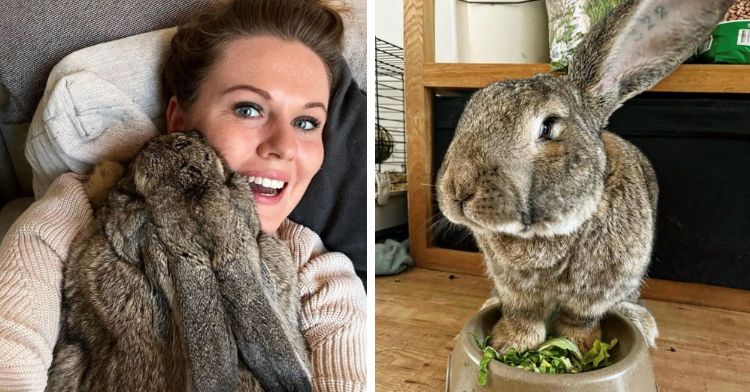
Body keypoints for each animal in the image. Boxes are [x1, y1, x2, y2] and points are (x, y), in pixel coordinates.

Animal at [434, 0, 736, 356]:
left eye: (548, 127)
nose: (458, 189)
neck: (547, 232)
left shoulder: (598, 291)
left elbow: (579, 319)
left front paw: (578, 346)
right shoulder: (514, 289)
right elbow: (523, 316)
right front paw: (508, 344)